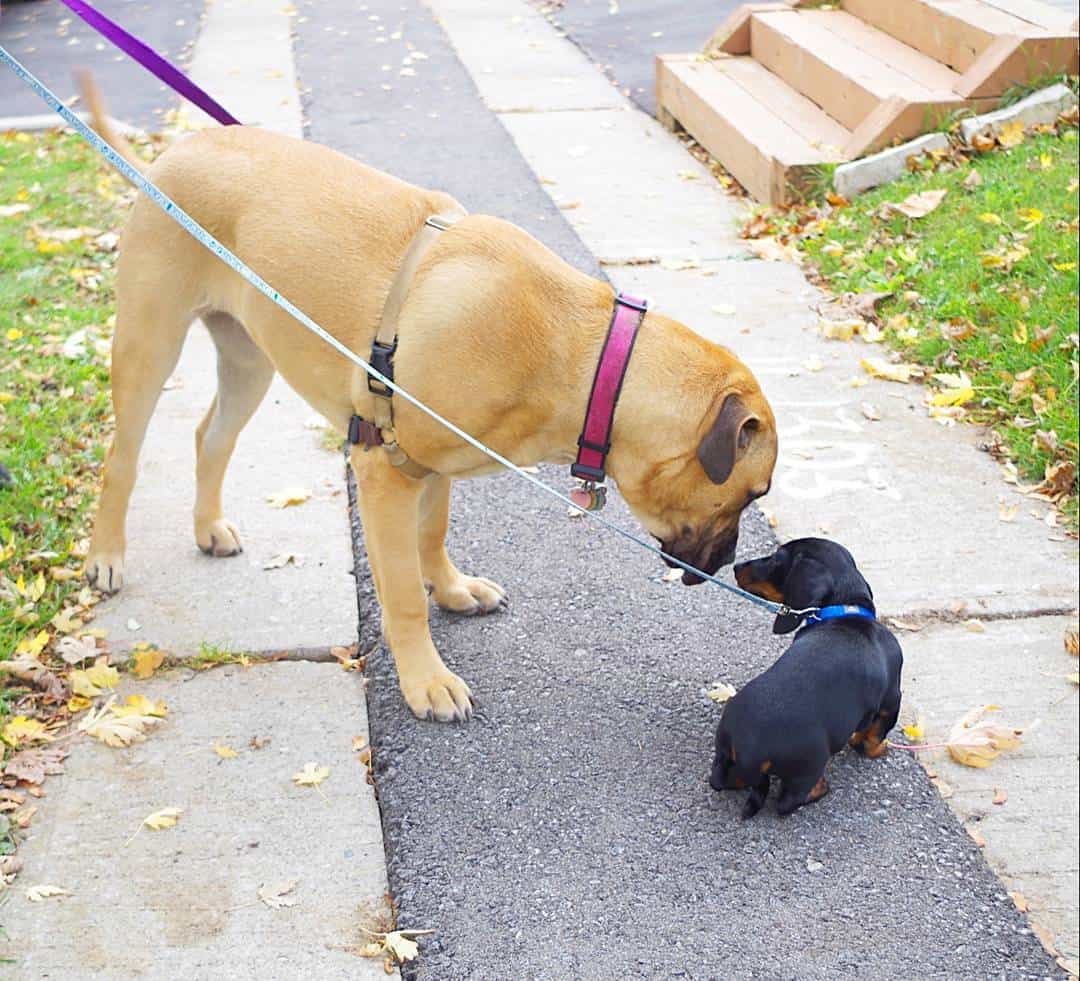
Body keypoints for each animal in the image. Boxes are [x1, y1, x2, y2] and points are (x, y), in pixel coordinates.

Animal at [84, 103, 777, 726]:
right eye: (752, 495)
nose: (726, 567)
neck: (582, 356)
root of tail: (177, 148)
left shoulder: (429, 462)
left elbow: (433, 533)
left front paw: (451, 589)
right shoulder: (384, 472)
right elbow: (400, 594)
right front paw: (426, 678)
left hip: (250, 359)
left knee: (212, 437)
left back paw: (208, 526)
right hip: (149, 344)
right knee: (123, 458)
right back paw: (106, 556)